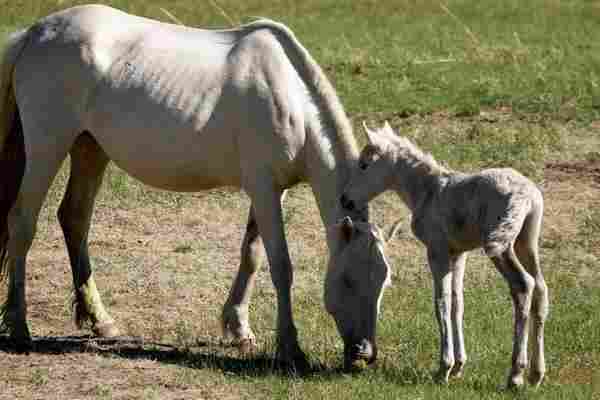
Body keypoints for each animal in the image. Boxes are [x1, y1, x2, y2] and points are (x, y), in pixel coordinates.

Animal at [0, 5, 394, 368]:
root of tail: (36, 32)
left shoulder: (270, 190)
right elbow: (281, 265)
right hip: (49, 144)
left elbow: (251, 254)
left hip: (89, 148)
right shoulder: (263, 188)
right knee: (22, 223)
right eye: (348, 280)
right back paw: (20, 328)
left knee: (75, 219)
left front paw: (239, 328)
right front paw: (290, 349)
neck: (290, 95)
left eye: (383, 282)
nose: (364, 354)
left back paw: (101, 321)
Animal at [340, 122, 548, 388]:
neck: (428, 191)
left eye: (364, 165)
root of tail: (527, 196)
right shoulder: (458, 254)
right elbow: (458, 303)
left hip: (501, 247)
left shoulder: (436, 251)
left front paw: (444, 368)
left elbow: (441, 302)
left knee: (523, 286)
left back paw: (515, 374)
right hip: (526, 242)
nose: (345, 200)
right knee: (541, 289)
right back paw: (536, 374)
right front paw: (459, 366)